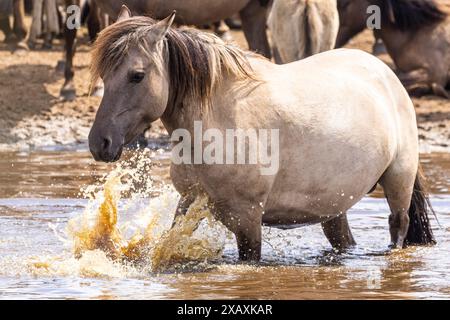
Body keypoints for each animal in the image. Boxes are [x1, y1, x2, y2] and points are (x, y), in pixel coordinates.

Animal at [88, 8, 436, 262]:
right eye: (104, 75)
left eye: (137, 75)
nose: (99, 143)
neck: (218, 121)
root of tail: (386, 73)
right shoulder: (188, 202)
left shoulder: (248, 219)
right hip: (334, 206)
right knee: (343, 239)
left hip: (398, 183)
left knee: (398, 226)